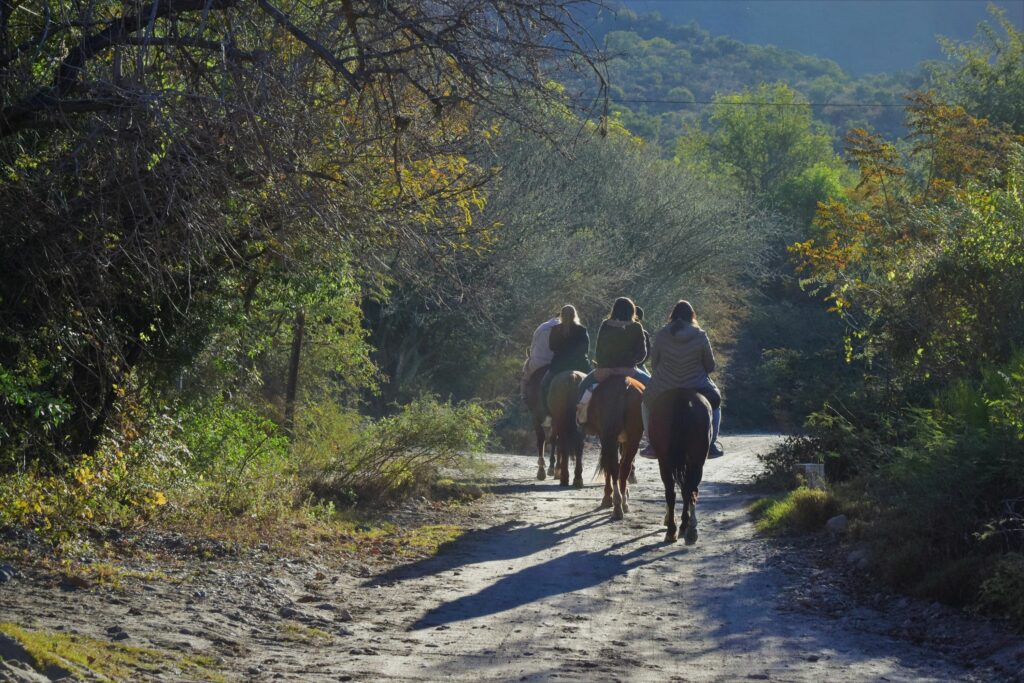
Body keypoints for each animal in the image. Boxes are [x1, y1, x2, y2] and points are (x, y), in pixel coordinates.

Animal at [581, 376, 643, 520]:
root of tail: (624, 384)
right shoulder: (622, 440)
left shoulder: (604, 437)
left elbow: (607, 466)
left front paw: (607, 497)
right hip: (633, 438)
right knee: (624, 466)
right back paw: (623, 503)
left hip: (609, 437)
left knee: (614, 466)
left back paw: (617, 505)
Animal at [651, 389, 708, 544]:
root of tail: (682, 397)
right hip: (696, 460)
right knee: (689, 489)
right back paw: (688, 529)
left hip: (665, 460)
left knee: (672, 492)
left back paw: (673, 530)